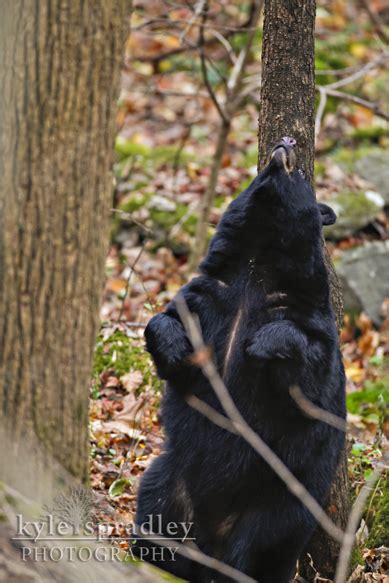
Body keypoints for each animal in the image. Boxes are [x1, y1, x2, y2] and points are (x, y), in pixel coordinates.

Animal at [134, 138, 346, 583]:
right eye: (257, 171)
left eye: (303, 178)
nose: (286, 142)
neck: (256, 266)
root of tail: (212, 536)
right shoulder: (208, 293)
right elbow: (166, 319)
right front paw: (176, 346)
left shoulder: (308, 312)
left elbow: (314, 372)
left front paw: (262, 345)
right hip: (170, 479)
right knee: (156, 519)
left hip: (277, 509)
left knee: (258, 552)